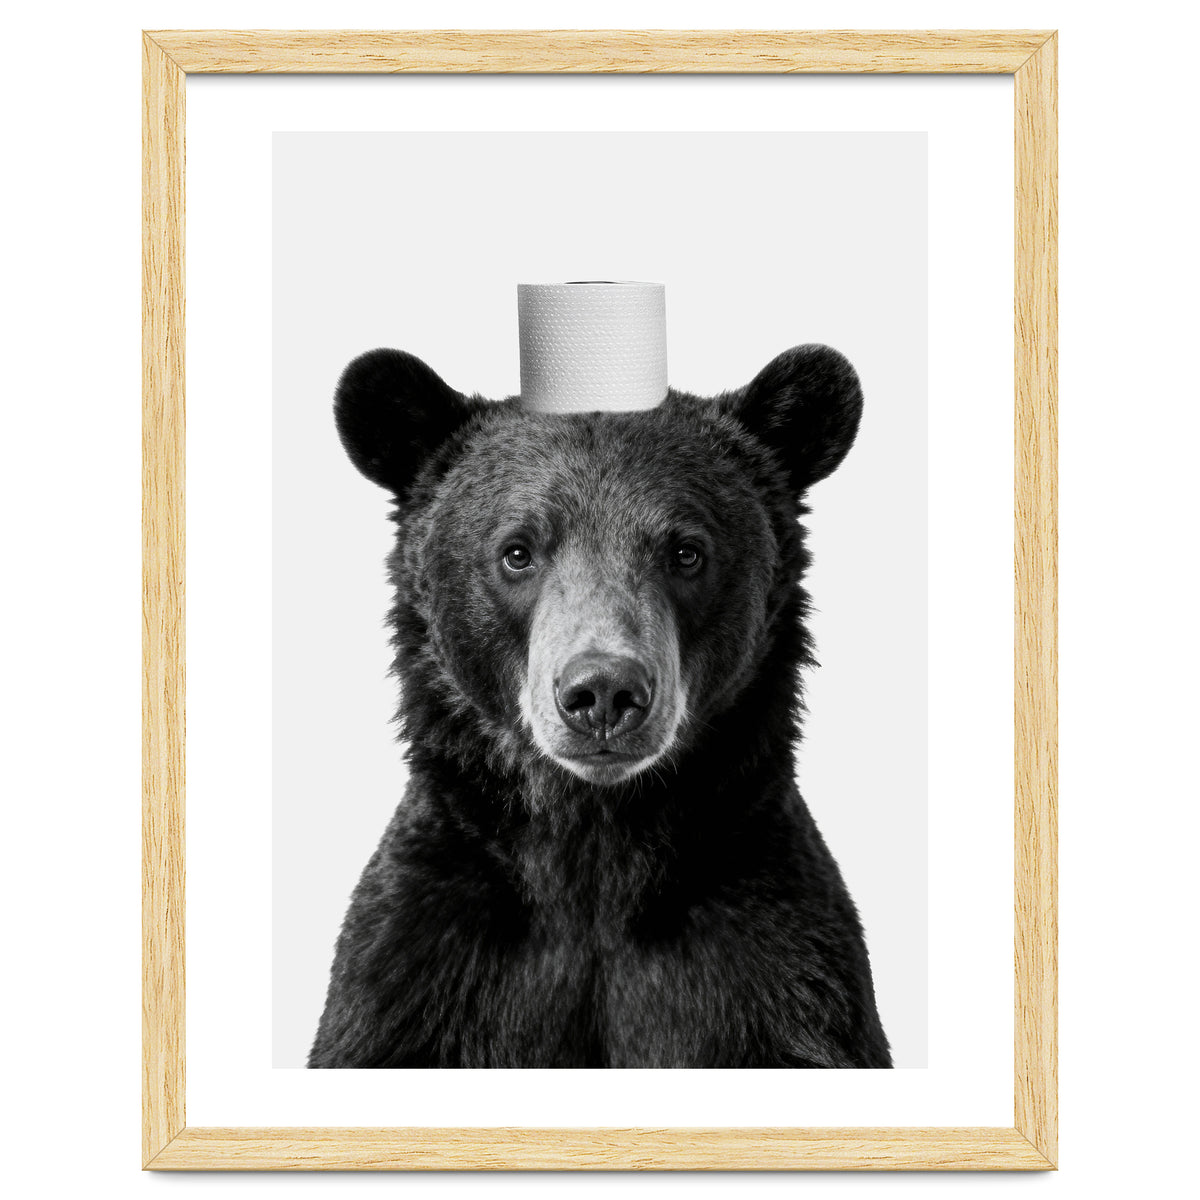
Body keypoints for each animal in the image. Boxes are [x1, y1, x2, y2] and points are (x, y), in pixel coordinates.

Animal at [308, 343, 892, 1069]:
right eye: (517, 552)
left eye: (686, 551)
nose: (604, 693)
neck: (595, 845)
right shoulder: (419, 967)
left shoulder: (777, 967)